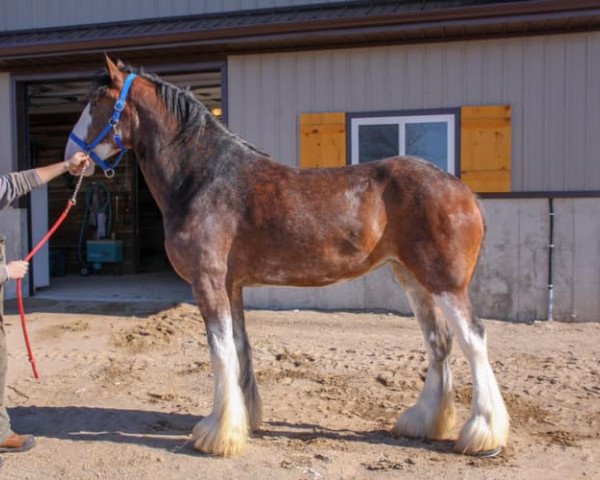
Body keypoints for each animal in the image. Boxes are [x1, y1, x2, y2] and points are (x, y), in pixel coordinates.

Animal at [64, 56, 506, 458]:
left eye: (99, 101)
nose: (72, 159)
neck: (205, 178)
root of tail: (463, 191)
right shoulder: (231, 285)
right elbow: (239, 349)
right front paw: (244, 421)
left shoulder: (207, 282)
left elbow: (220, 353)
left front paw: (216, 435)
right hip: (412, 277)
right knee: (439, 342)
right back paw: (423, 422)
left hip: (445, 282)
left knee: (473, 339)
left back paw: (484, 434)